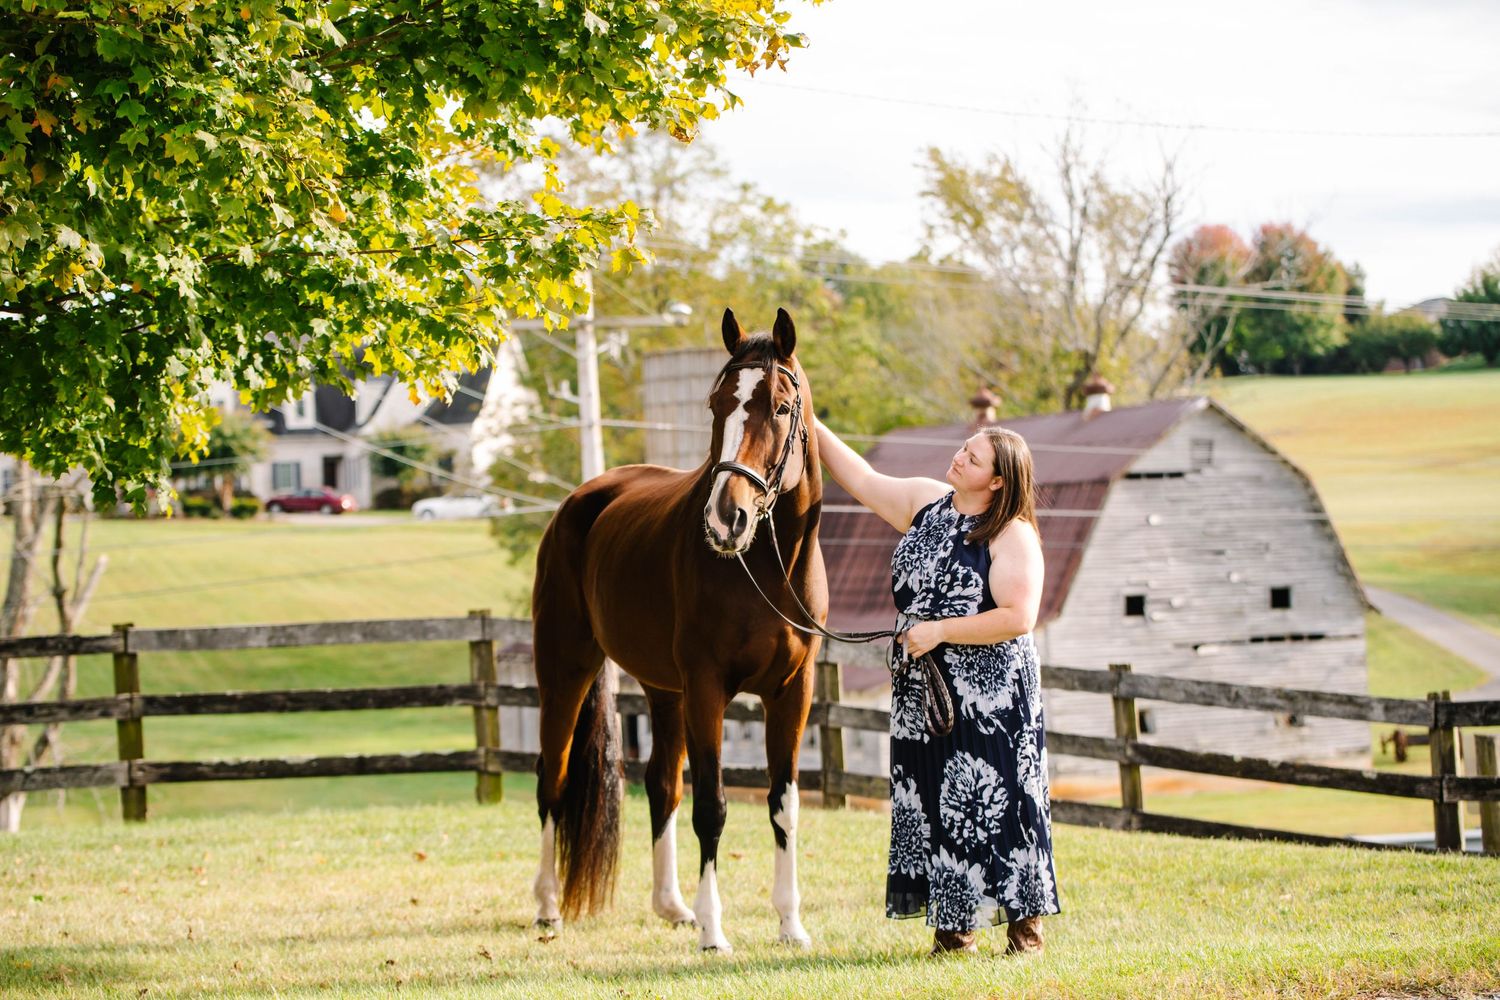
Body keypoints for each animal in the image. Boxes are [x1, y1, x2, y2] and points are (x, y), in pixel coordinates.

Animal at [529, 306, 826, 953]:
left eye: (781, 407)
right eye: (715, 404)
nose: (726, 518)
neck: (769, 568)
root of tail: (580, 500)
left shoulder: (792, 692)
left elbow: (783, 805)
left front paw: (790, 923)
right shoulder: (708, 689)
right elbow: (712, 806)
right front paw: (715, 931)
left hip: (663, 692)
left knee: (661, 782)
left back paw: (671, 906)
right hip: (566, 672)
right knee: (552, 778)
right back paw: (547, 907)